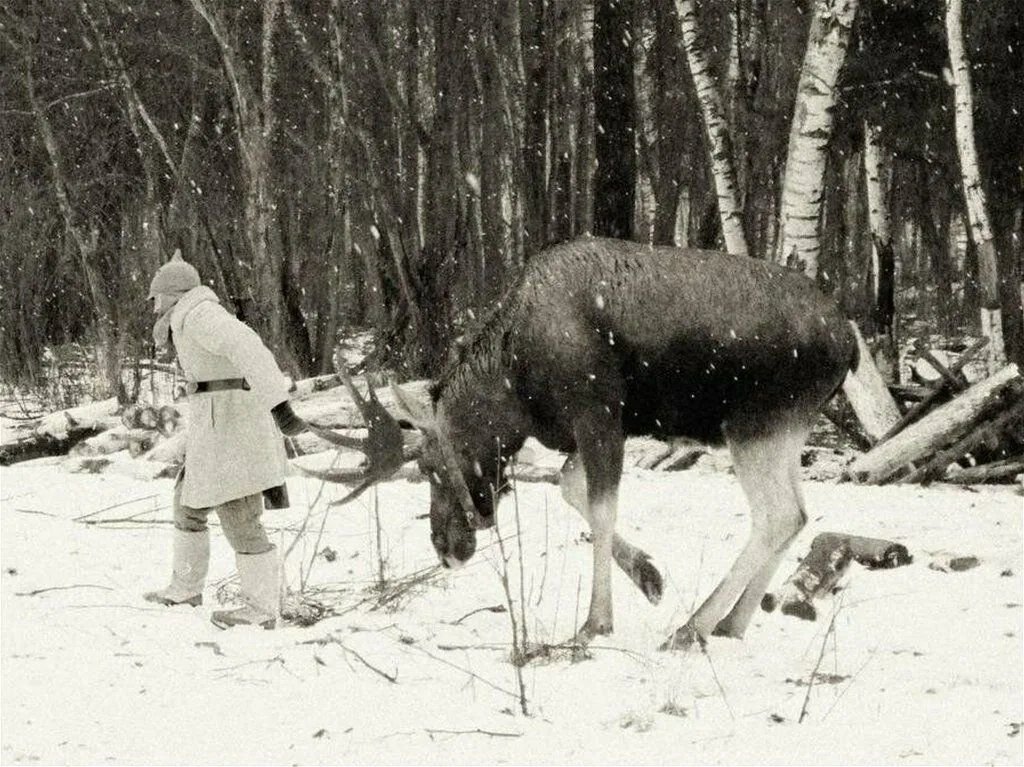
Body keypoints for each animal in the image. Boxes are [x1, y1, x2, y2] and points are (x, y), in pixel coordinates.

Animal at [313, 237, 856, 647]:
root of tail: (849, 343)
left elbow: (599, 507)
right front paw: (649, 576)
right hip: (788, 430)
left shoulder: (598, 415)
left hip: (753, 424)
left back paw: (691, 627)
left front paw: (595, 623)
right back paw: (731, 623)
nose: (445, 547)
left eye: (429, 467)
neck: (516, 390)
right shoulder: (588, 430)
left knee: (776, 516)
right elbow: (567, 486)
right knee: (799, 514)